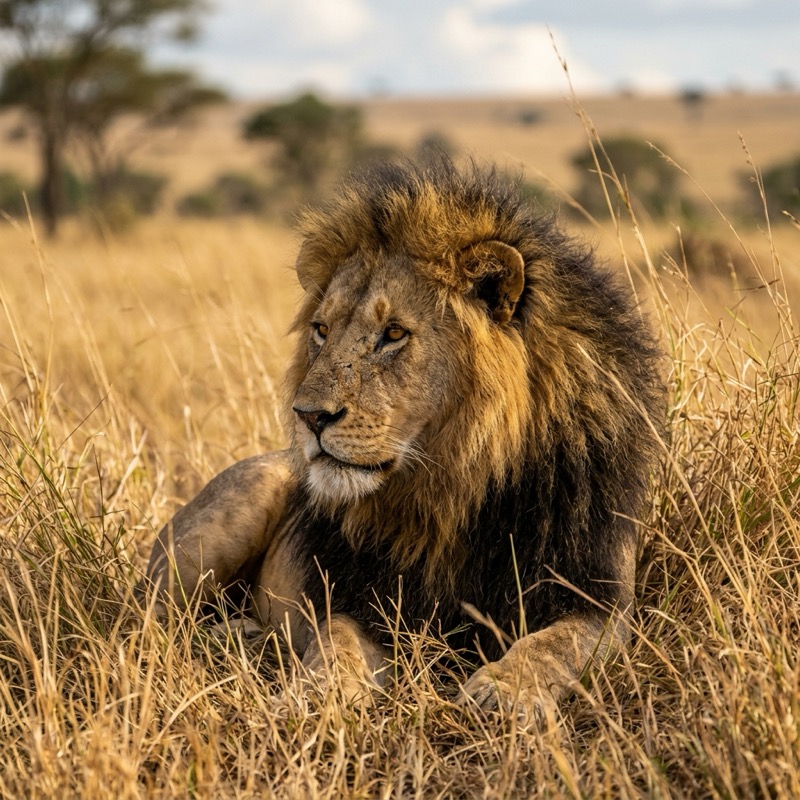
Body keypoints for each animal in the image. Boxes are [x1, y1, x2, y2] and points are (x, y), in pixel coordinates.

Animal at [145, 156, 665, 725]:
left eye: (393, 333)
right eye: (322, 330)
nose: (308, 416)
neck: (452, 485)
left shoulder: (598, 600)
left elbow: (552, 644)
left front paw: (502, 692)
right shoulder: (356, 599)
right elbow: (336, 648)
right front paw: (314, 696)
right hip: (232, 511)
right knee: (147, 617)